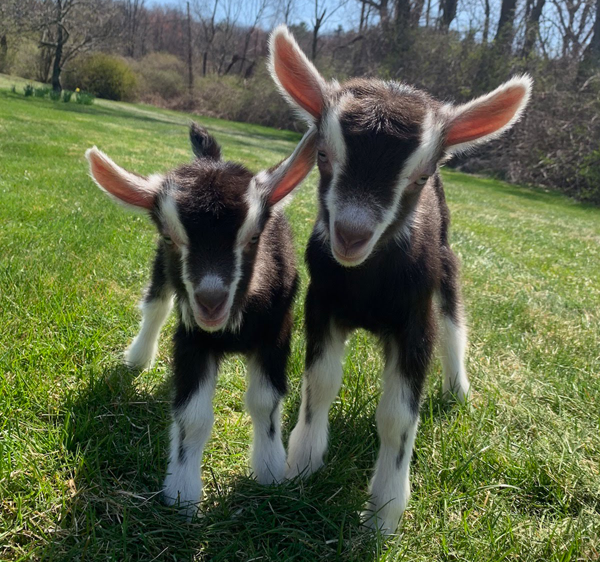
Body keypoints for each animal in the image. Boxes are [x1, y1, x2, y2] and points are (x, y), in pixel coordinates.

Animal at [87, 122, 318, 512]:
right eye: (169, 236)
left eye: (254, 237)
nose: (211, 302)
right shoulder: (191, 338)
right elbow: (193, 417)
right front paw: (182, 493)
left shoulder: (277, 332)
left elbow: (265, 401)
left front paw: (270, 471)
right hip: (162, 275)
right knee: (156, 305)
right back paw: (138, 357)